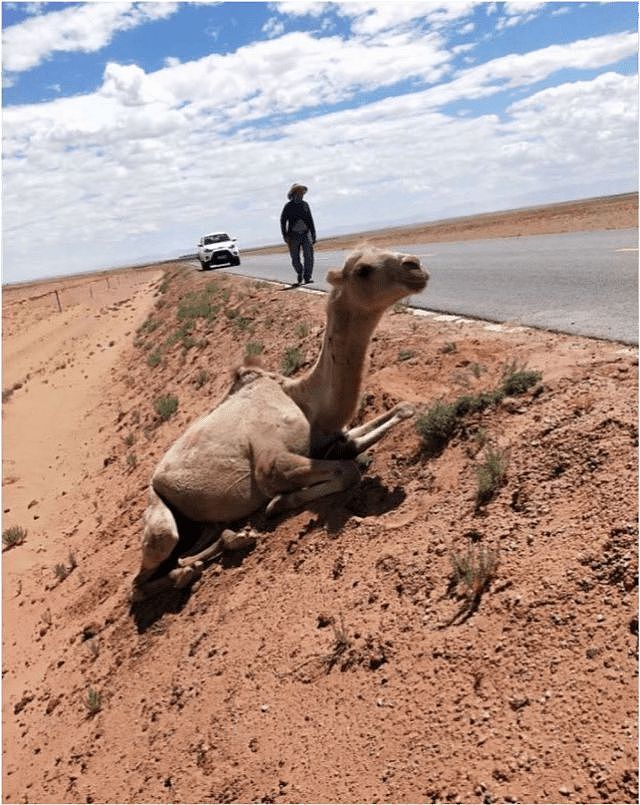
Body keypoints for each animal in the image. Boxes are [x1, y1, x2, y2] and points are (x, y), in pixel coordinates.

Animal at [132, 248, 428, 600]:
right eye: (363, 270)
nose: (415, 266)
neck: (304, 401)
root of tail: (154, 478)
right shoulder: (270, 463)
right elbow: (347, 470)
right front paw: (278, 501)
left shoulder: (333, 438)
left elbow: (397, 414)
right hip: (158, 514)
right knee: (141, 579)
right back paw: (190, 569)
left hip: (194, 517)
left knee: (202, 537)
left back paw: (225, 543)